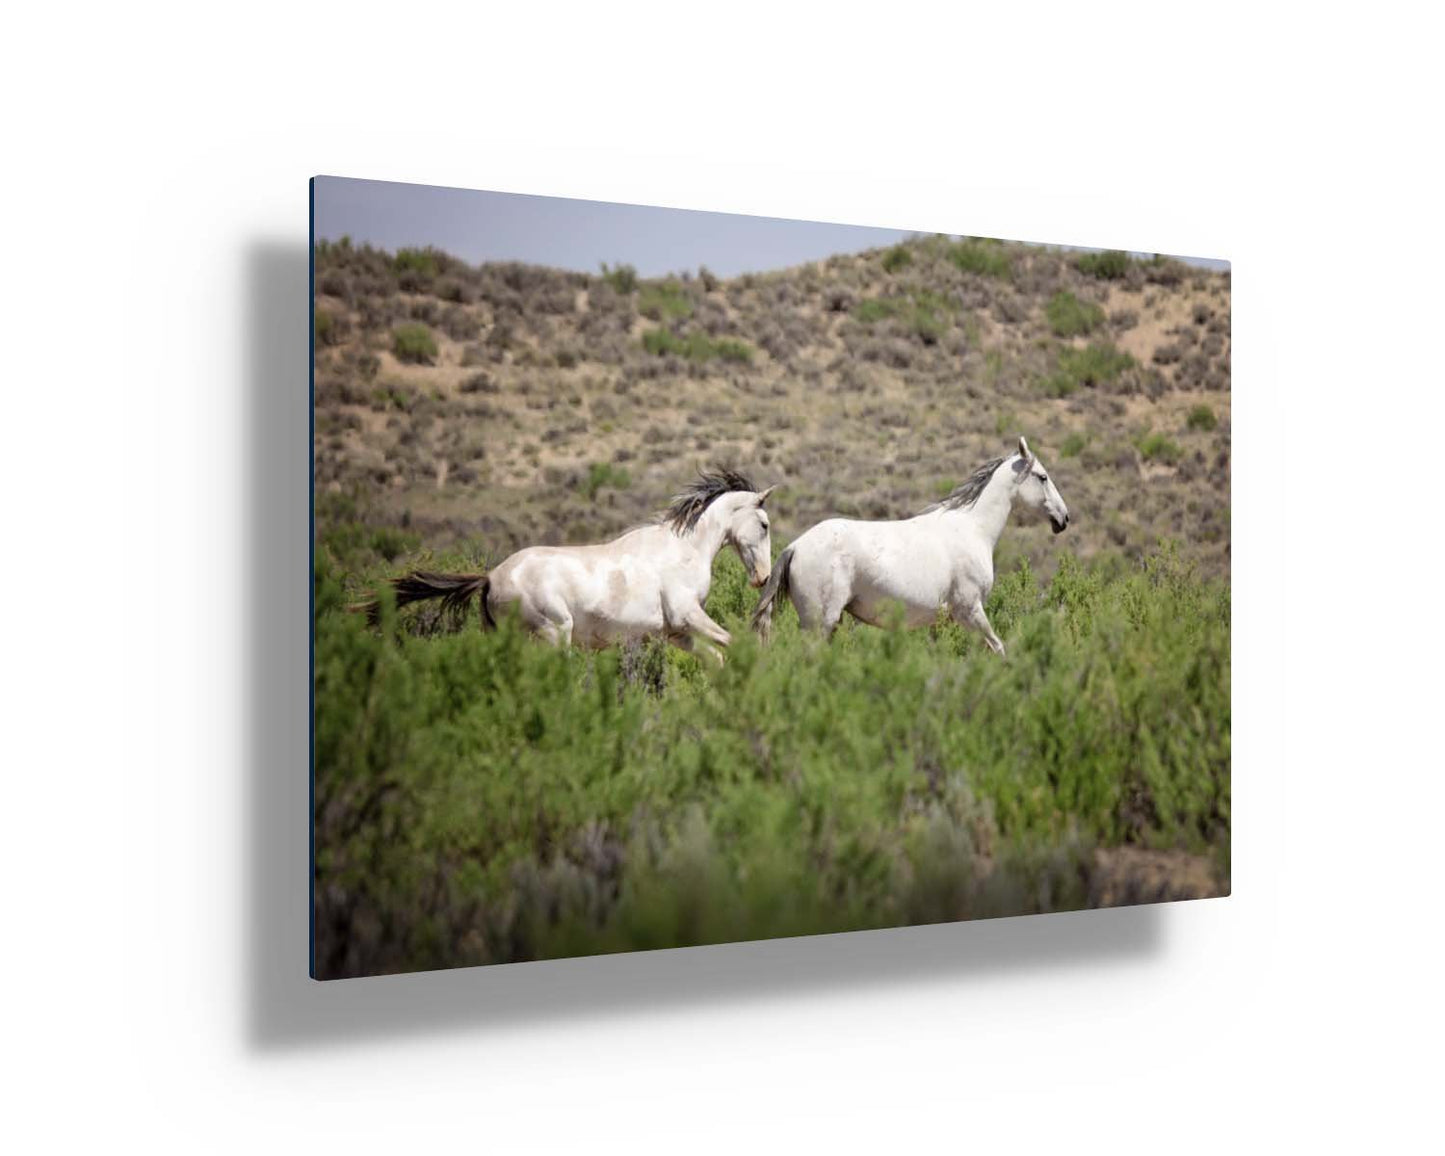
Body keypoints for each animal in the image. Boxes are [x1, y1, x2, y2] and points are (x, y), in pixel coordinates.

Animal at [358, 469, 776, 658]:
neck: (684, 549)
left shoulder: (677, 633)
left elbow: (717, 657)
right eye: (765, 524)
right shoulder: (688, 616)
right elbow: (733, 642)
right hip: (554, 632)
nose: (764, 577)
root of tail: (491, 578)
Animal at [751, 437, 1069, 657]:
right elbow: (998, 648)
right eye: (1043, 477)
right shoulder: (969, 610)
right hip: (820, 623)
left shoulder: (941, 621)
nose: (1063, 519)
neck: (973, 528)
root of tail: (795, 547)